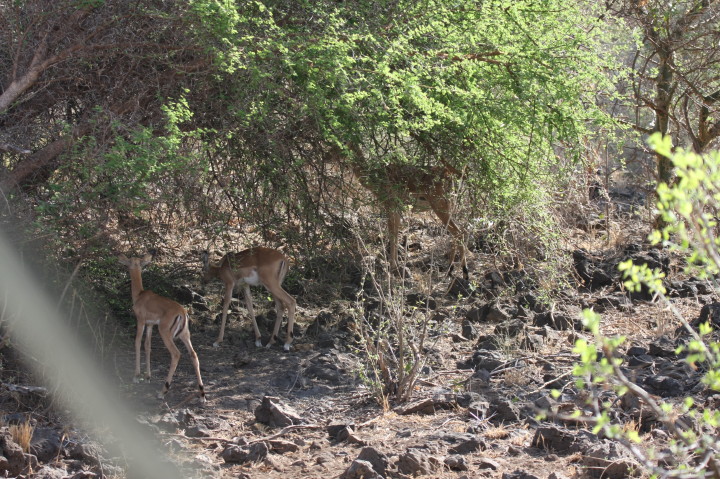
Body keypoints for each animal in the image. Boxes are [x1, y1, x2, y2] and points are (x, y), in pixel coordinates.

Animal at [117, 253, 206, 402]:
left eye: (130, 261)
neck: (139, 295)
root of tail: (182, 313)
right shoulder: (150, 324)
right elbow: (147, 346)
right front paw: (147, 377)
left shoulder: (141, 321)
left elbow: (137, 342)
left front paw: (136, 376)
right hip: (185, 334)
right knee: (194, 354)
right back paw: (202, 395)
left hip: (165, 333)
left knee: (176, 354)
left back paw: (162, 392)